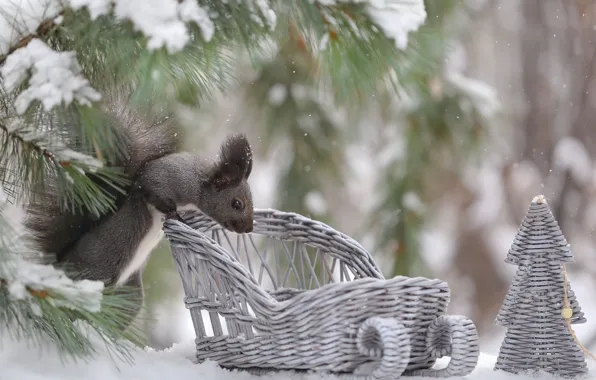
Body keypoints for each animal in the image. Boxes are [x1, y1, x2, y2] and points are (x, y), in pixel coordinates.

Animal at [22, 87, 251, 328]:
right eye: (237, 203)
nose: (248, 227)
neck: (198, 182)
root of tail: (60, 265)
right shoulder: (164, 179)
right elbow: (152, 193)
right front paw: (174, 214)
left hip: (130, 295)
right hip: (98, 271)